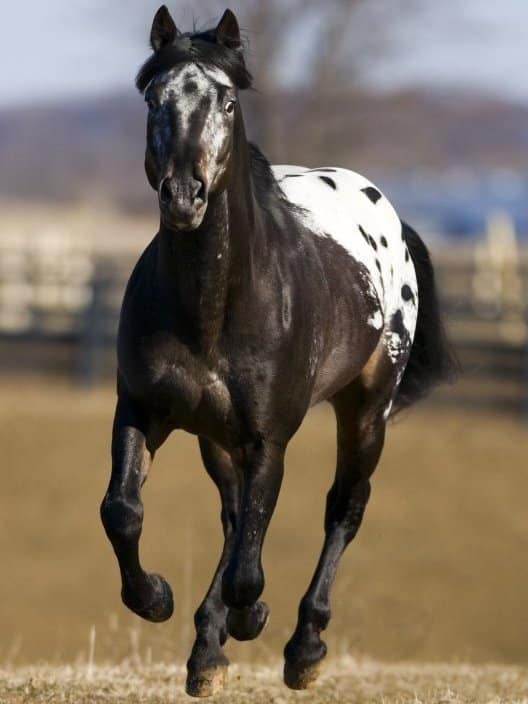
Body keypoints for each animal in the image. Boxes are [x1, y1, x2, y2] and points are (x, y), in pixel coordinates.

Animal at [100, 6, 456, 697]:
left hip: (367, 409)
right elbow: (123, 512)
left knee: (342, 509)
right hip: (216, 436)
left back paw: (303, 647)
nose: (183, 196)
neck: (214, 306)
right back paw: (209, 652)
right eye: (154, 99)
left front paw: (249, 618)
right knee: (234, 515)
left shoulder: (270, 437)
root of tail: (391, 218)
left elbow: (250, 564)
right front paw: (158, 599)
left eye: (228, 101)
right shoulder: (142, 409)